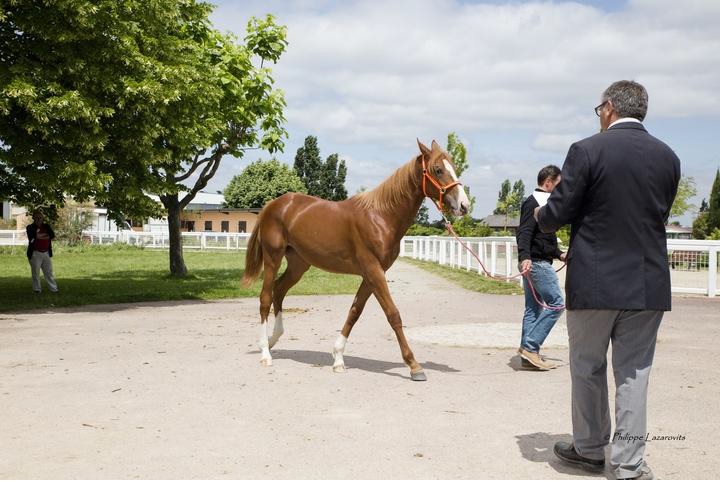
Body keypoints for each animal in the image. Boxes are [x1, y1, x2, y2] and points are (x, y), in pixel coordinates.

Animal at [239, 139, 470, 380]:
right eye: (438, 169)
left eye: (454, 167)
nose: (464, 205)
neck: (381, 217)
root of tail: (273, 205)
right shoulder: (373, 271)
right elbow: (393, 314)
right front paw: (414, 365)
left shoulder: (372, 274)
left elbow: (355, 311)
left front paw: (338, 357)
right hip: (273, 259)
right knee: (265, 298)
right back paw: (265, 353)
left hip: (298, 264)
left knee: (279, 289)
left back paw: (273, 340)